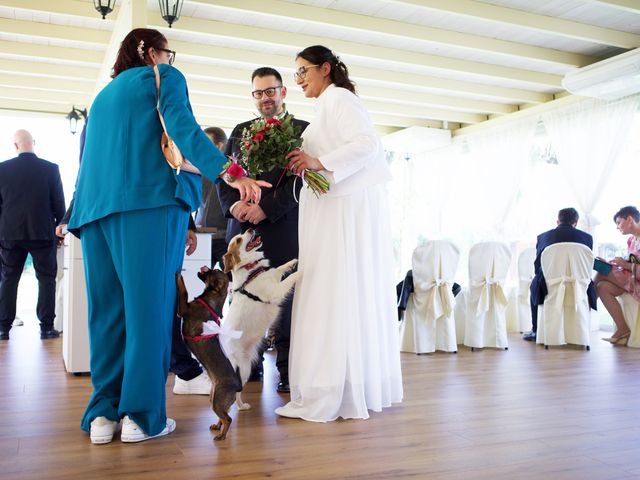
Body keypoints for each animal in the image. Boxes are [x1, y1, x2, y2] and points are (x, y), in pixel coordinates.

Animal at [175, 266, 242, 438]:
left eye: (214, 272)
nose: (208, 267)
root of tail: (237, 386)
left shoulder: (183, 309)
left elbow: (183, 291)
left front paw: (180, 277)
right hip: (215, 399)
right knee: (225, 414)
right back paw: (217, 426)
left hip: (217, 400)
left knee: (228, 418)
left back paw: (222, 436)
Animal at [221, 229, 302, 408]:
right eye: (238, 240)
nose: (250, 228)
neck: (250, 270)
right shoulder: (276, 292)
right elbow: (290, 278)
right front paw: (302, 271)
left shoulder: (274, 276)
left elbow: (280, 268)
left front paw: (294, 262)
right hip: (240, 368)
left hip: (245, 370)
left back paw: (241, 407)